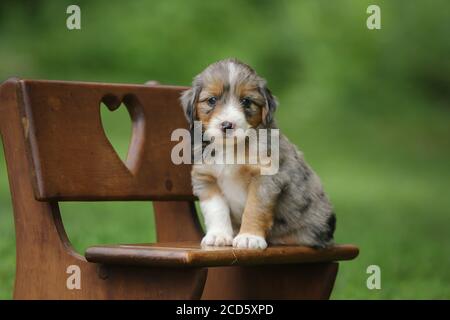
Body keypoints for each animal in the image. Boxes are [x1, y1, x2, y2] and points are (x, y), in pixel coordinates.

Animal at [180, 60, 334, 250]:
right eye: (212, 100)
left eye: (246, 101)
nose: (227, 125)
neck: (232, 148)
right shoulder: (206, 178)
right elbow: (216, 209)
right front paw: (218, 236)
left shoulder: (265, 178)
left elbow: (254, 208)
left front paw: (249, 237)